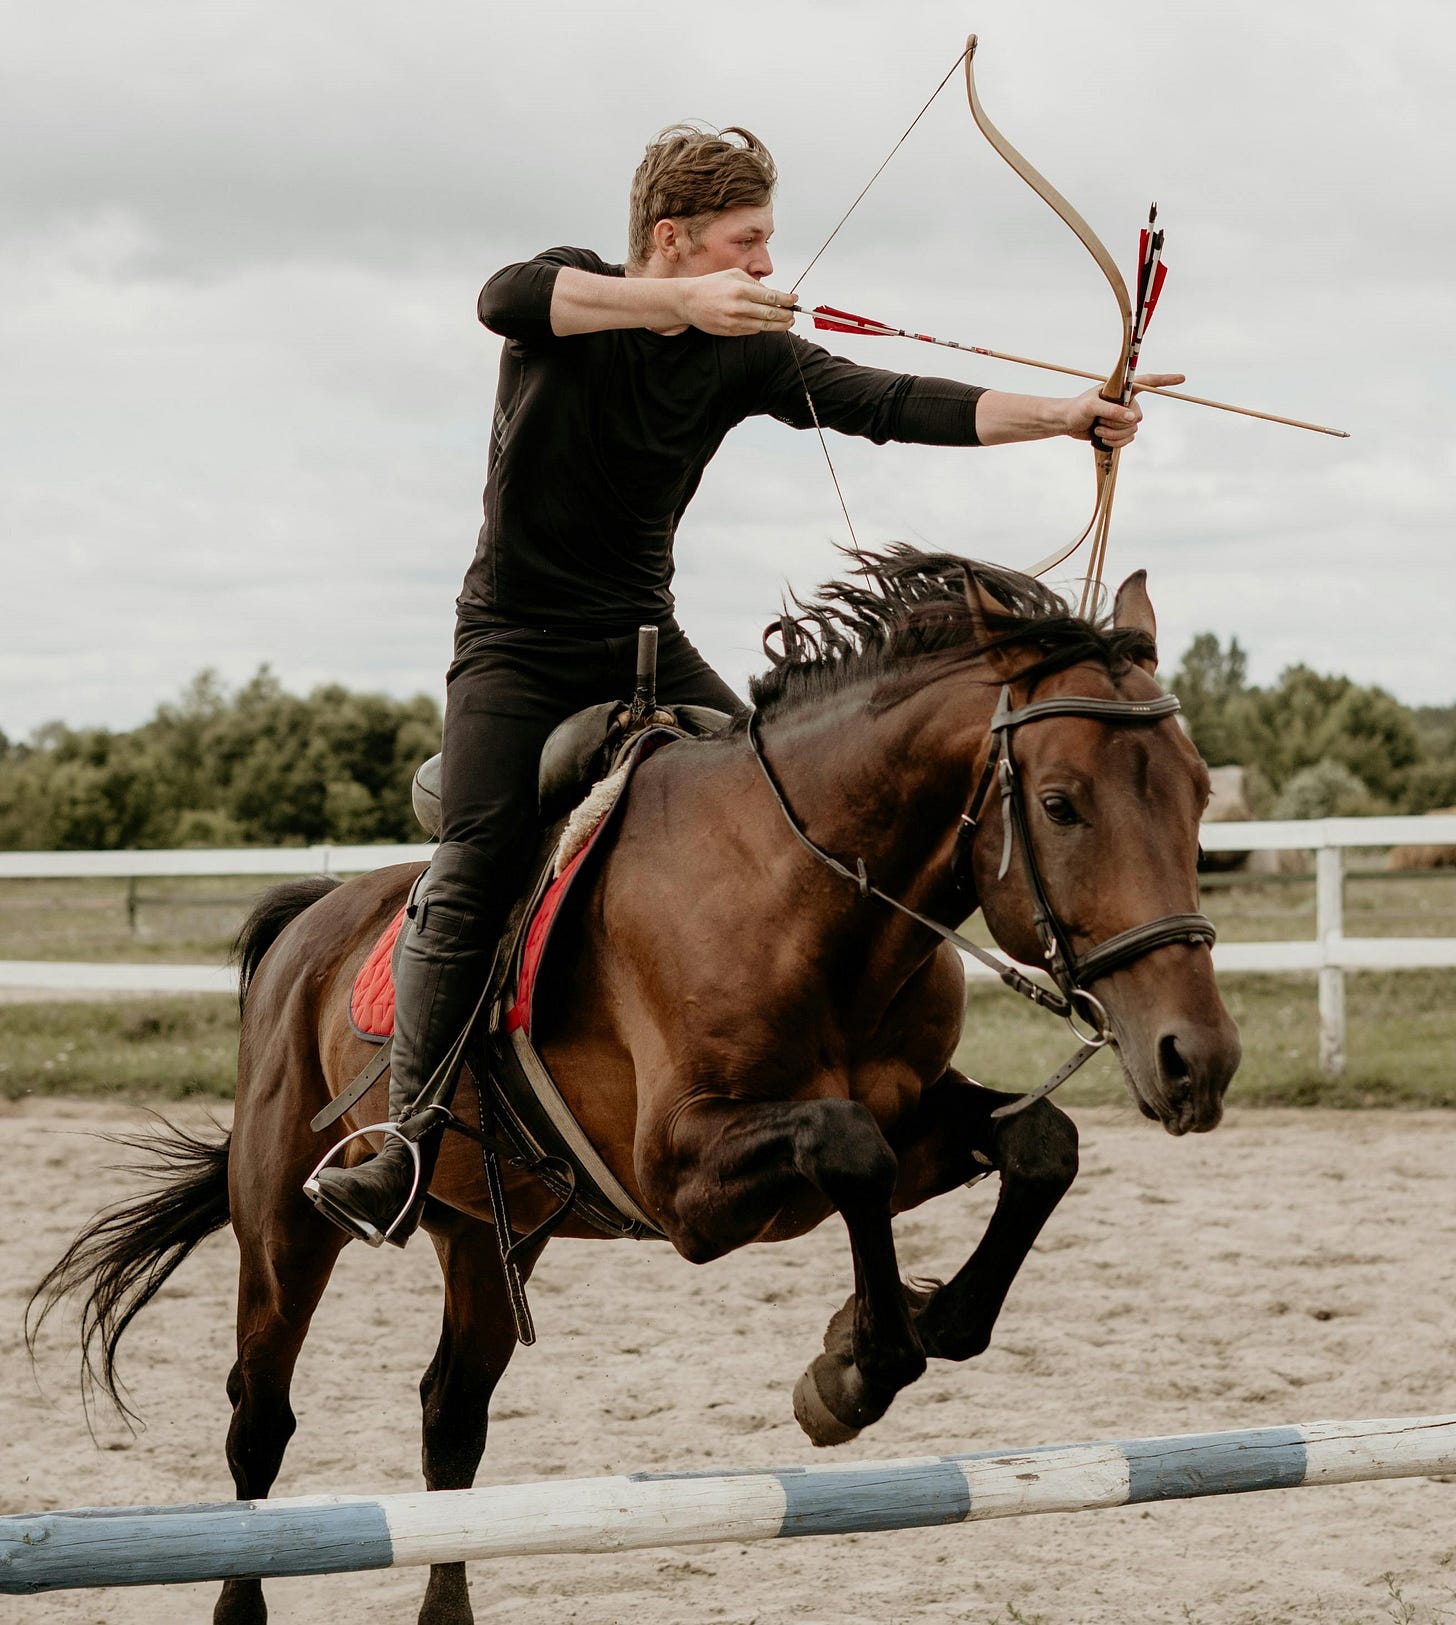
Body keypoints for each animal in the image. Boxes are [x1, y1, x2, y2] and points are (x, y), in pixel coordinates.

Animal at [29, 549, 1240, 1625]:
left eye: (1197, 794)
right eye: (1061, 801)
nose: (1199, 1059)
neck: (806, 899)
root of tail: (307, 920)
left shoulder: (910, 1115)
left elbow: (1038, 1145)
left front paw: (903, 1325)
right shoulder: (685, 1184)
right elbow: (849, 1144)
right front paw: (856, 1365)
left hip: (485, 1232)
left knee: (449, 1418)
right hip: (286, 1226)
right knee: (260, 1420)